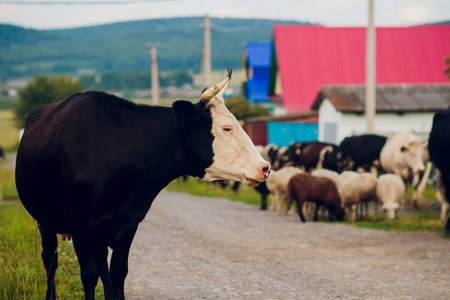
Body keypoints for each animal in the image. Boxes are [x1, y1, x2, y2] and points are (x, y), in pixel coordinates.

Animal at [14, 71, 270, 300]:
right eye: (227, 127)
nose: (265, 167)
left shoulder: (128, 222)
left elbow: (118, 272)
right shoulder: (80, 224)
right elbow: (88, 274)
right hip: (44, 221)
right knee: (50, 261)